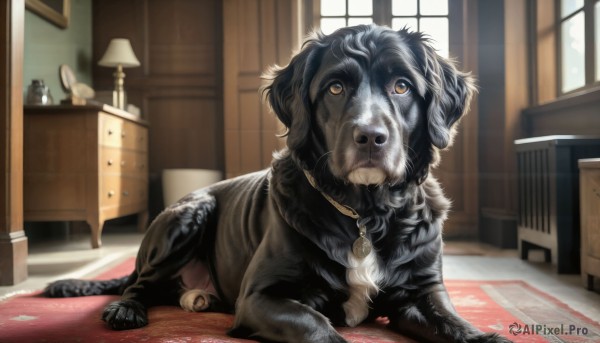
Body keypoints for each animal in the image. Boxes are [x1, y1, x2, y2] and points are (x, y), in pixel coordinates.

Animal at [44, 24, 510, 343]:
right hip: (187, 216)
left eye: (402, 86)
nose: (370, 137)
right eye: (335, 88)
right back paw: (127, 310)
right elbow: (319, 327)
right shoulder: (260, 297)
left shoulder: (422, 291)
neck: (365, 212)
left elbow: (458, 326)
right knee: (137, 285)